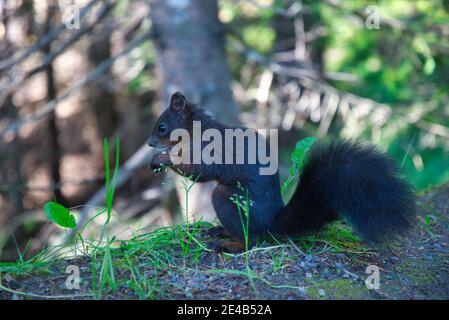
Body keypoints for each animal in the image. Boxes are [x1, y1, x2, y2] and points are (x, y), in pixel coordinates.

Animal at [148, 91, 416, 251]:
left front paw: (161, 158)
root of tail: (271, 224)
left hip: (227, 199)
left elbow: (197, 171)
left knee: (252, 238)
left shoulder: (207, 150)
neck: (195, 130)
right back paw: (220, 231)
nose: (149, 144)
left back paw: (233, 245)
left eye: (162, 127)